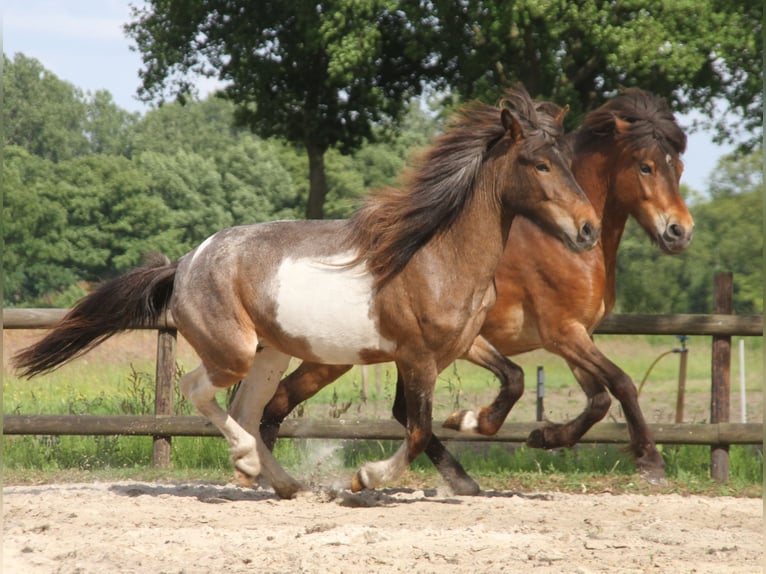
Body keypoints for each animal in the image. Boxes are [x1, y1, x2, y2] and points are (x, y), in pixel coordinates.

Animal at [13, 86, 599, 499]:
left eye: (567, 162)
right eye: (539, 164)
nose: (589, 229)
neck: (434, 256)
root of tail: (187, 262)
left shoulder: (460, 344)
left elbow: (514, 379)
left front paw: (474, 421)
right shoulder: (415, 357)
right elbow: (415, 428)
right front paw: (366, 477)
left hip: (270, 354)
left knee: (250, 410)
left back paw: (283, 482)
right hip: (233, 351)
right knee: (198, 390)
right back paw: (248, 463)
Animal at [243, 88, 692, 492]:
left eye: (681, 167)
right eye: (646, 167)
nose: (680, 231)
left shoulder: (571, 335)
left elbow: (591, 397)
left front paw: (540, 436)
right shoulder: (562, 332)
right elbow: (619, 382)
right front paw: (651, 463)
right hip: (334, 356)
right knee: (283, 401)